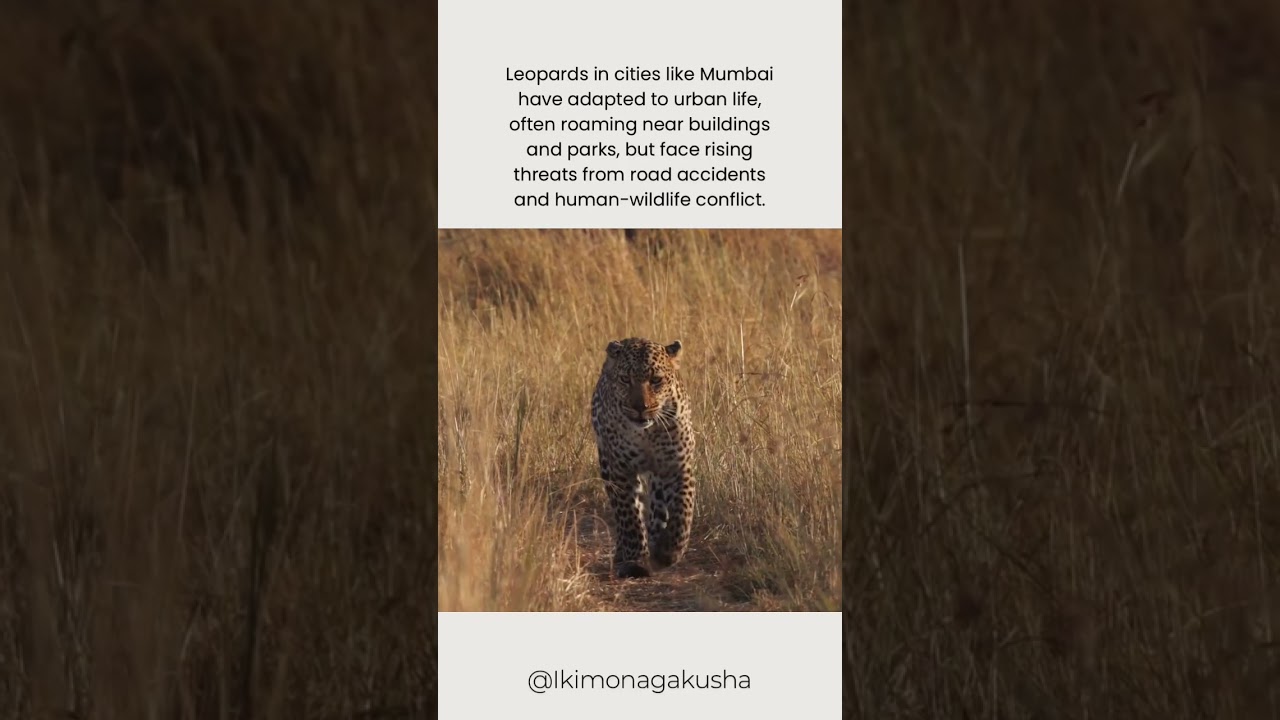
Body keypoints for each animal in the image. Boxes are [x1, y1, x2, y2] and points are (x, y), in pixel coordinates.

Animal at [590, 337, 696, 579]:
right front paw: (636, 561)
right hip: (606, 463)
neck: (647, 433)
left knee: (658, 509)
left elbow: (682, 511)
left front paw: (669, 551)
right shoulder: (621, 471)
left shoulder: (679, 466)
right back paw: (624, 553)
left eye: (655, 380)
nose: (640, 407)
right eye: (625, 379)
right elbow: (629, 516)